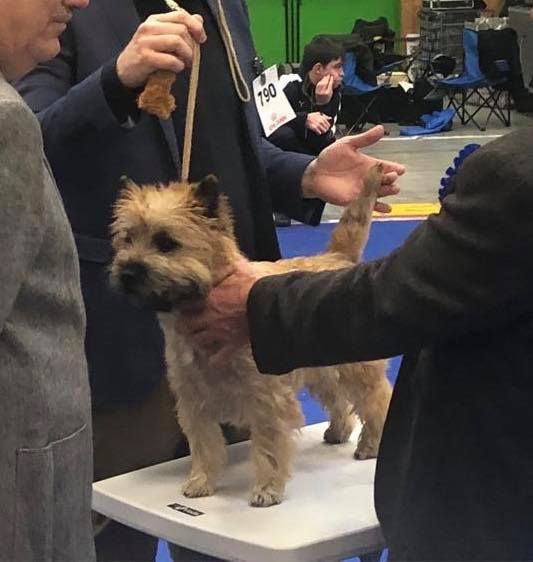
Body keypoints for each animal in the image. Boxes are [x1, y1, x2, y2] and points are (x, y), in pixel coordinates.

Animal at [109, 164, 390, 506]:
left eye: (166, 242)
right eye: (127, 239)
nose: (127, 272)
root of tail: (338, 257)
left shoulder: (265, 398)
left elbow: (268, 447)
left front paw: (267, 489)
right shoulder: (193, 400)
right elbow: (204, 445)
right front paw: (200, 482)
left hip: (358, 370)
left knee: (376, 400)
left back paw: (370, 445)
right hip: (321, 369)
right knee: (338, 401)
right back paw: (337, 433)